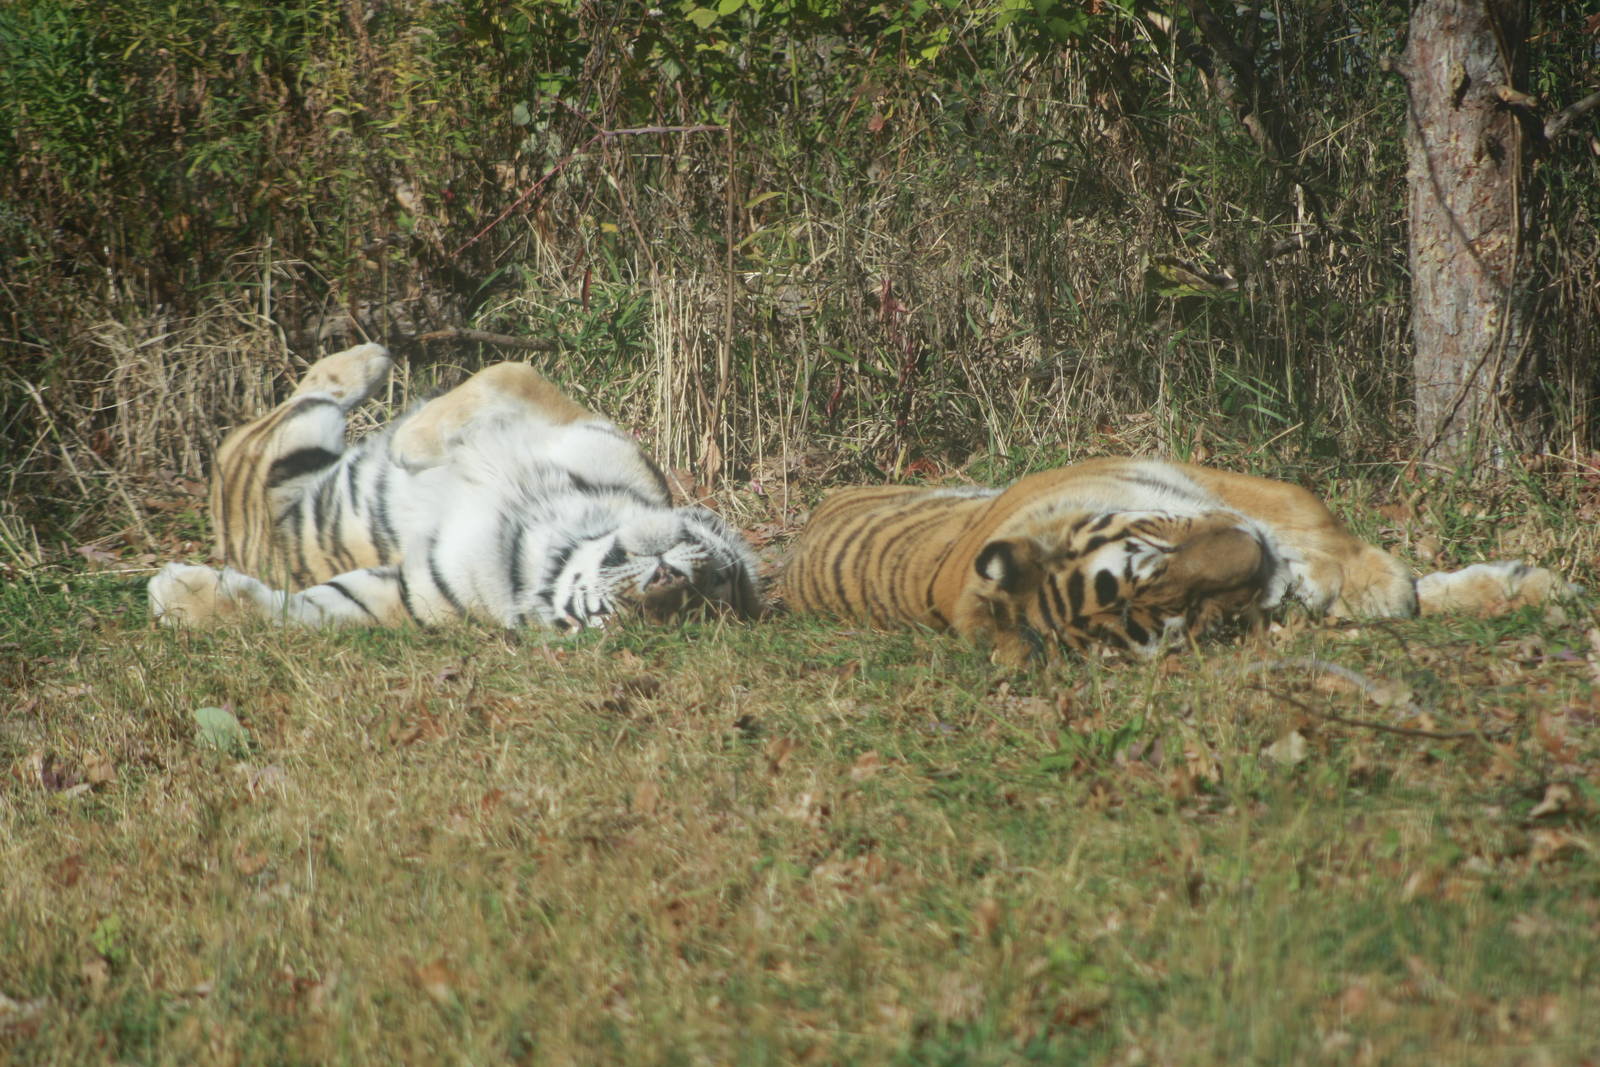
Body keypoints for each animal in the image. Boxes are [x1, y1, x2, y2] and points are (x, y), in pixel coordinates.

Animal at [148, 343, 763, 631]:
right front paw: (412, 442)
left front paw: (175, 597)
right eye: (722, 575)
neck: (552, 536)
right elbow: (505, 373)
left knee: (273, 418)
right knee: (293, 400)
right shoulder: (592, 432)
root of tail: (228, 531)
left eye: (622, 618)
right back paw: (372, 361)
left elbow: (300, 615)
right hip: (301, 436)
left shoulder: (406, 594)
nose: (670, 580)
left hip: (286, 445)